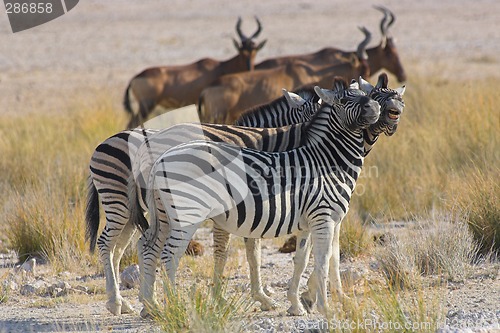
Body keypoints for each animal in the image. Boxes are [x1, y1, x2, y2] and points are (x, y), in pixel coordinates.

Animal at [85, 88, 320, 314]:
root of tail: (104, 142)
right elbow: (227, 253)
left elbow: (253, 254)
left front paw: (267, 297)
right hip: (118, 202)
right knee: (107, 243)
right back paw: (117, 302)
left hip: (134, 212)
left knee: (118, 249)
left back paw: (131, 302)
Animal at [123, 16, 268, 128]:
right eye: (241, 51)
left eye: (255, 51)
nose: (249, 68)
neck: (219, 67)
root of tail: (135, 77)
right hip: (146, 106)